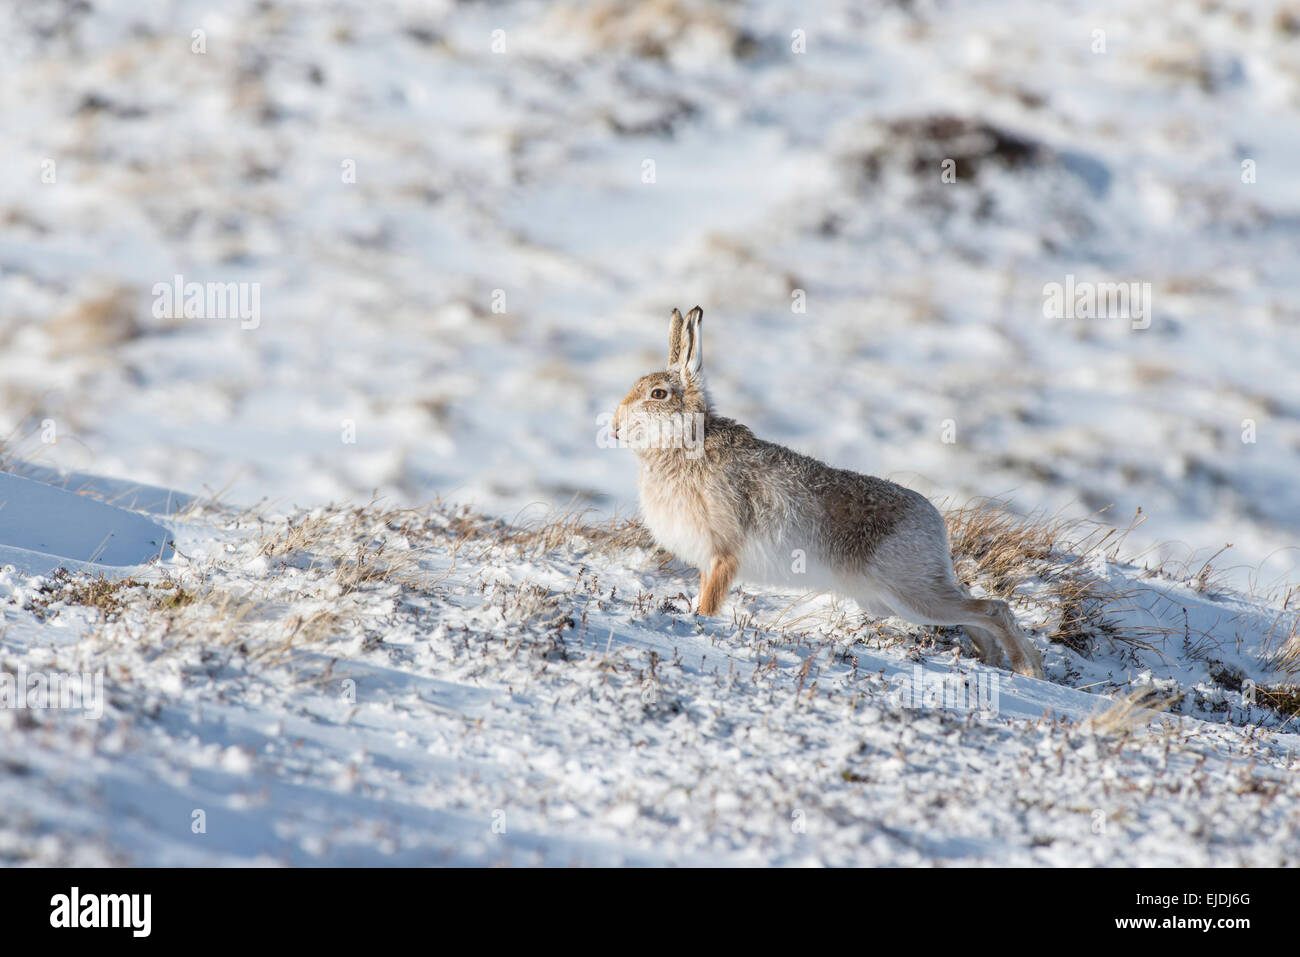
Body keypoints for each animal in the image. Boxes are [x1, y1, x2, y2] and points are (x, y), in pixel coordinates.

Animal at [612, 306, 1045, 679]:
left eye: (658, 395)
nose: (614, 428)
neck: (686, 444)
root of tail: (934, 522)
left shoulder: (722, 555)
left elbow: (708, 604)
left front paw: (699, 623)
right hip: (896, 598)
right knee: (973, 610)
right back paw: (994, 661)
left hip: (912, 591)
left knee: (993, 609)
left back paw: (1028, 670)